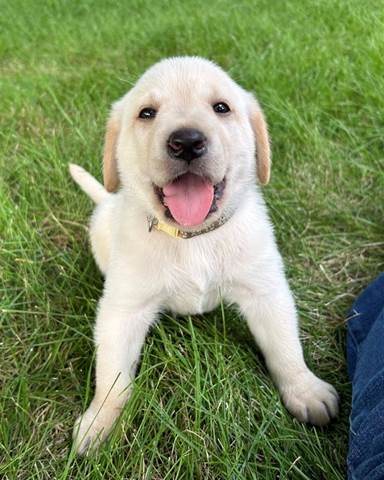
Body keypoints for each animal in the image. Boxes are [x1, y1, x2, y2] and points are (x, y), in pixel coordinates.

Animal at [70, 56, 340, 454]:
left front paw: (305, 389)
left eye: (221, 108)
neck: (192, 238)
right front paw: (101, 421)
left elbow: (285, 346)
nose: (186, 142)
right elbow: (112, 373)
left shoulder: (265, 290)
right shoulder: (122, 310)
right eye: (146, 113)